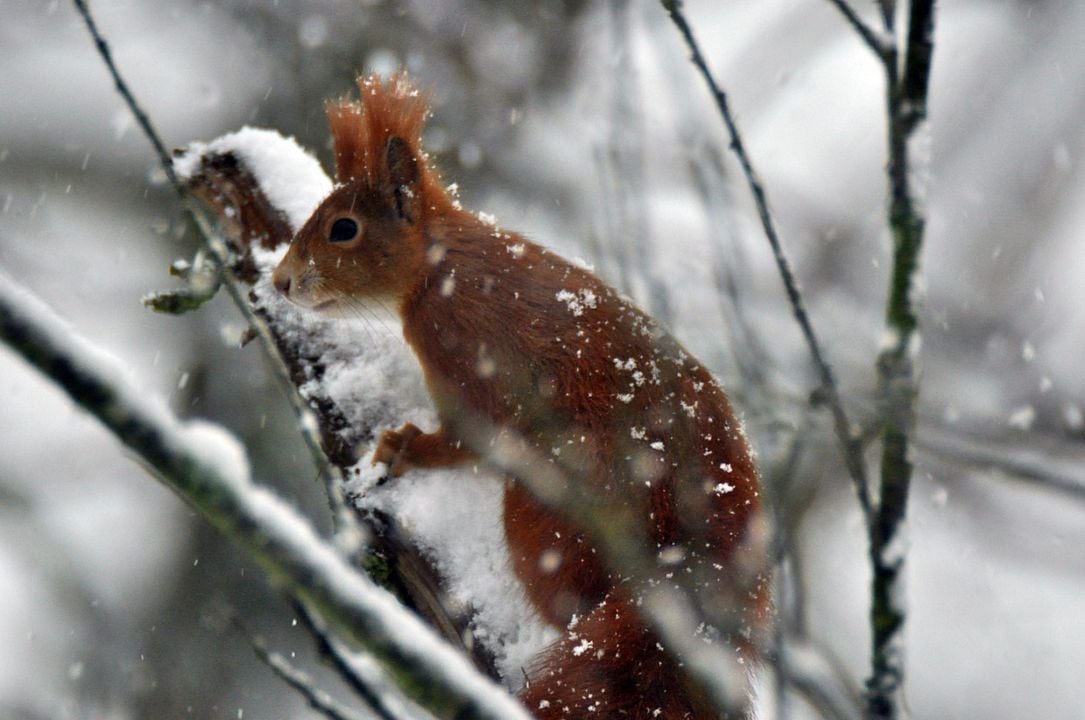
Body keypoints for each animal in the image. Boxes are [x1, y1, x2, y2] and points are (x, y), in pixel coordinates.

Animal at [266, 75, 768, 715]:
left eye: (344, 229)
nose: (281, 281)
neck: (437, 268)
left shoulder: (466, 359)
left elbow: (466, 438)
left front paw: (407, 449)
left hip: (552, 510)